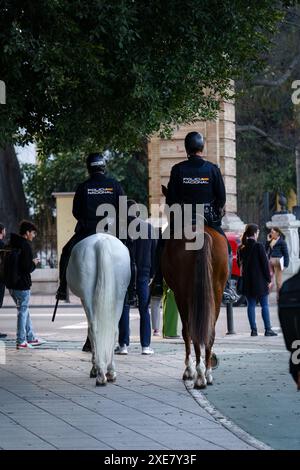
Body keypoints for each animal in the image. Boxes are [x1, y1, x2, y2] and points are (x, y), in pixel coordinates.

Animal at [67, 232, 130, 386]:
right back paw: (111, 372)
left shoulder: (84, 300)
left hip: (88, 296)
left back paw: (100, 373)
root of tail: (102, 242)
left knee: (94, 329)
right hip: (119, 296)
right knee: (114, 329)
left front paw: (94, 368)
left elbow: (89, 331)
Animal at [162, 187, 227, 390]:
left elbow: (186, 332)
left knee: (191, 331)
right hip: (216, 292)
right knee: (209, 331)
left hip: (184, 295)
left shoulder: (179, 294)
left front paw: (189, 370)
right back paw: (207, 373)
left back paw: (197, 374)